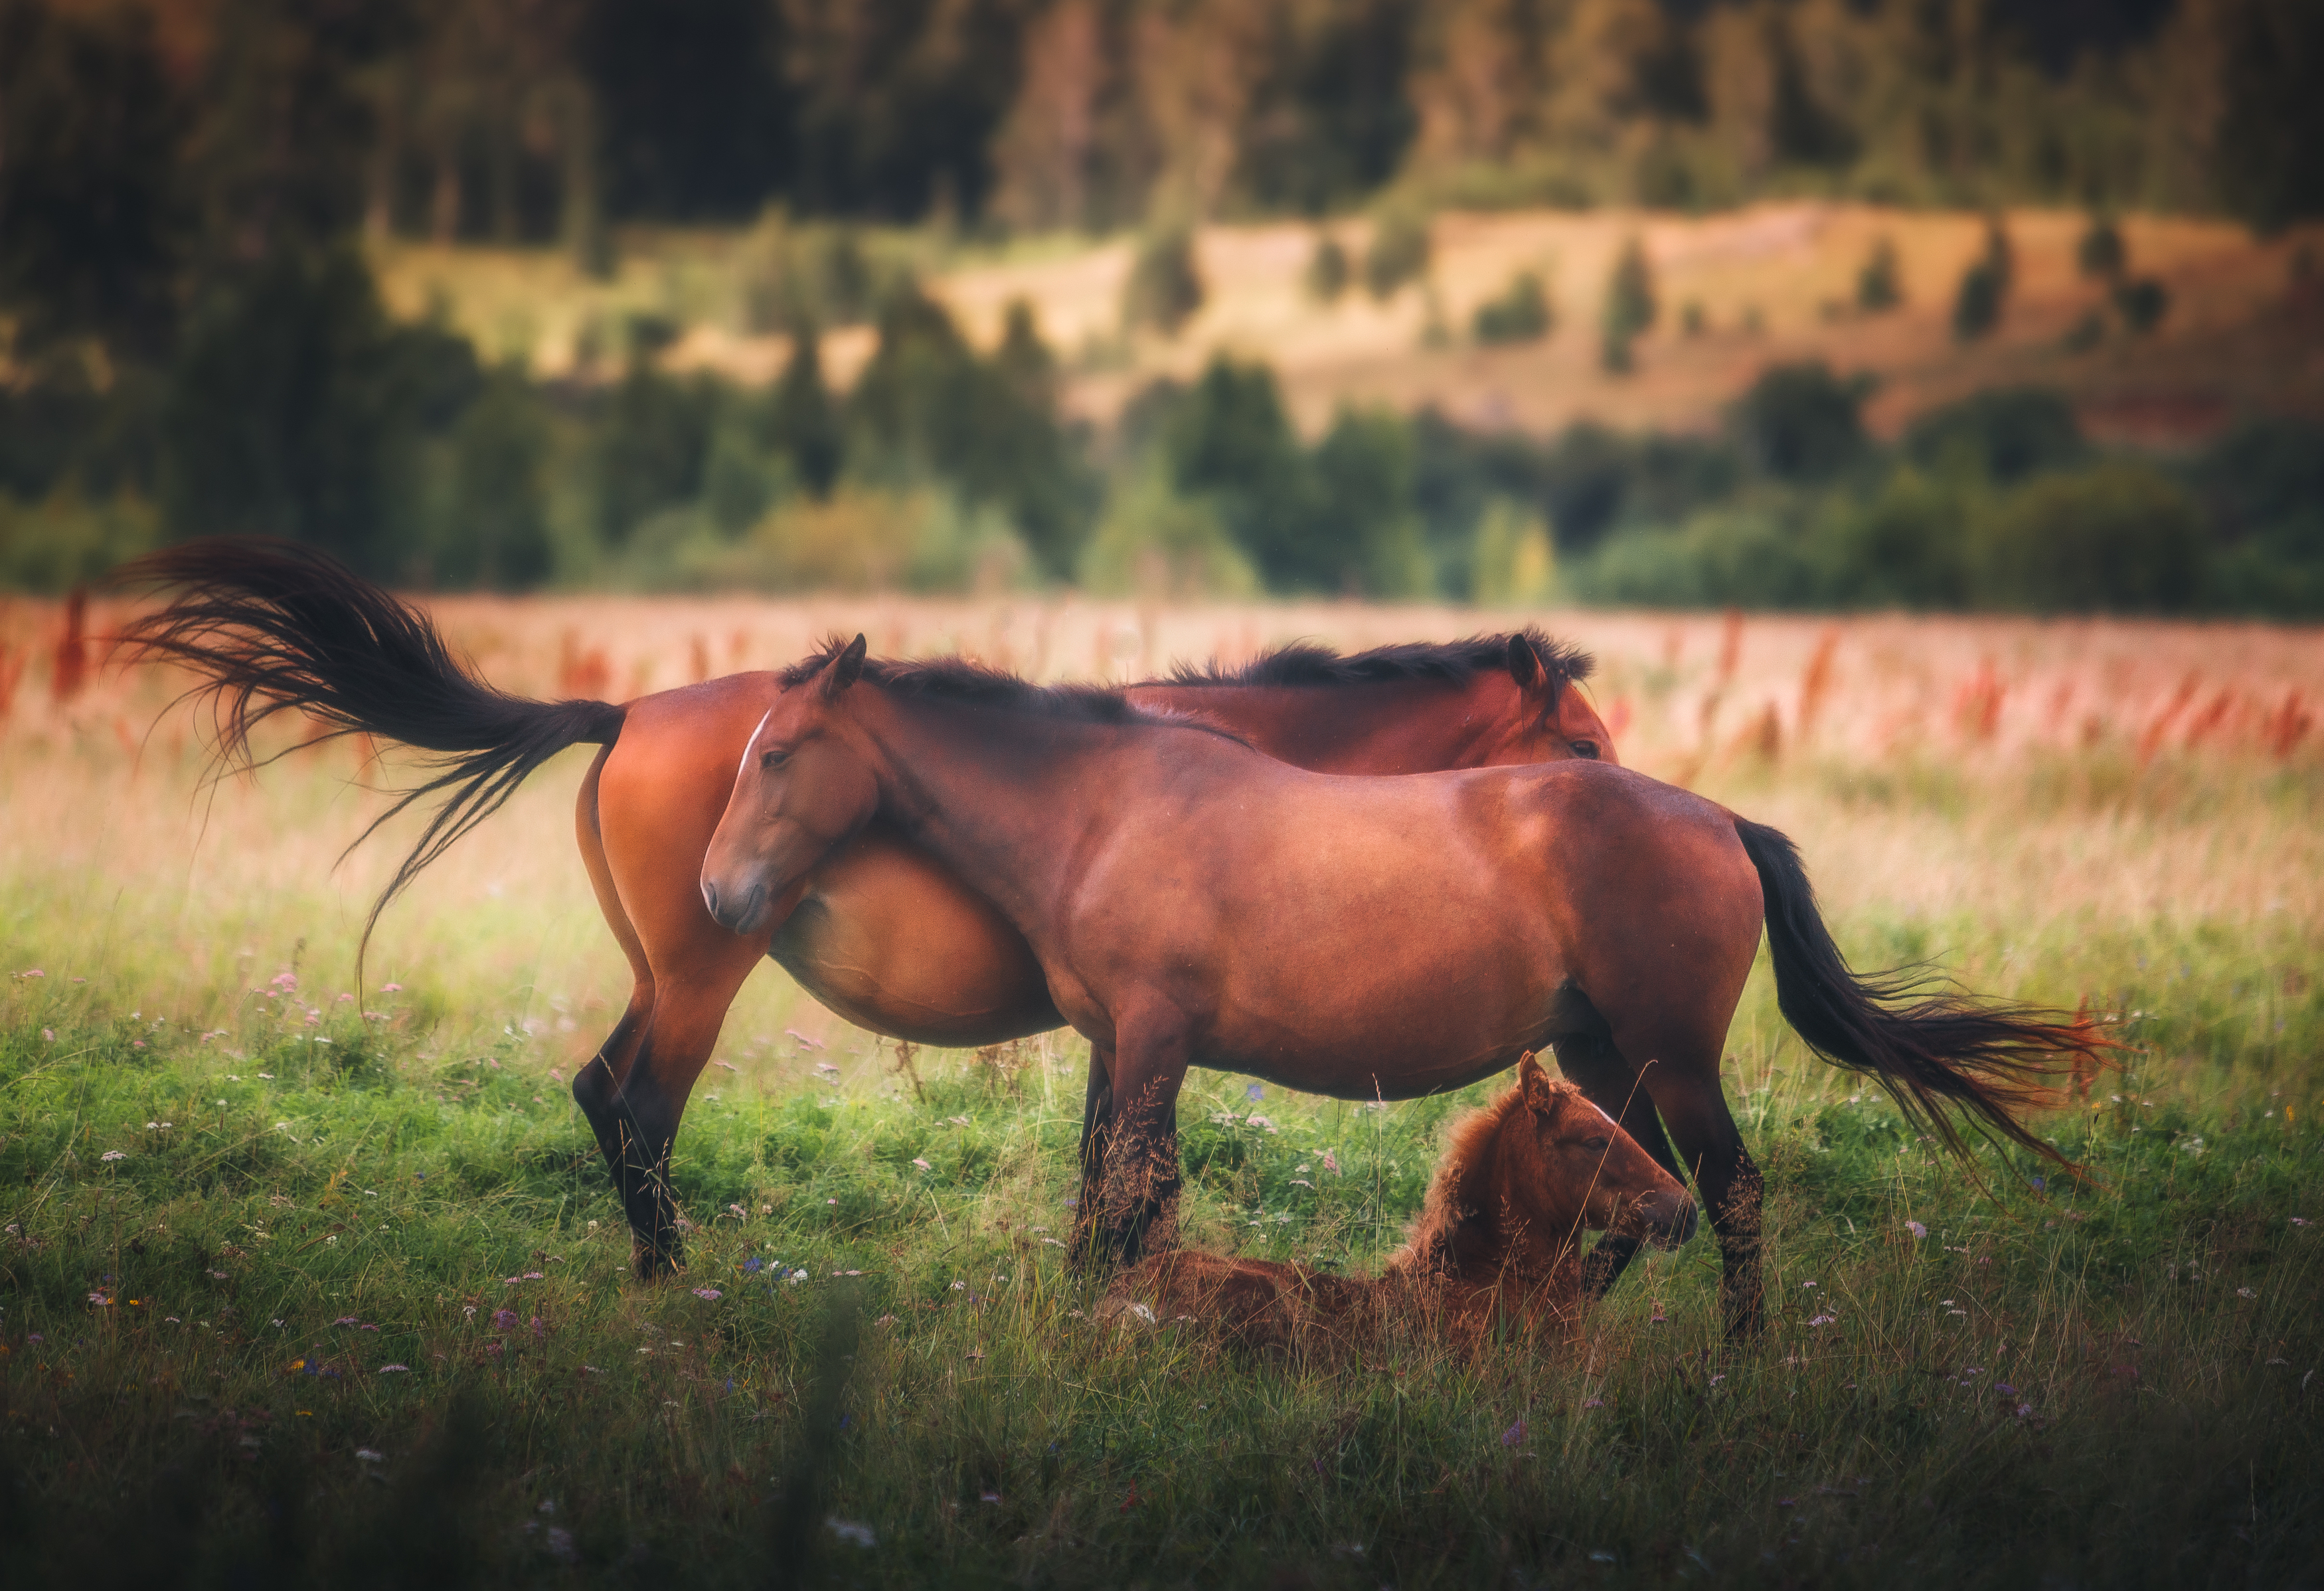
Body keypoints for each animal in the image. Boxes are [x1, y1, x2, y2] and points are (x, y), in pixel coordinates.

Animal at [113, 539, 1618, 1272]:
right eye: (1585, 744)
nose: (1631, 803)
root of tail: (627, 708)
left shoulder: (1122, 1032)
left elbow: (1101, 1178)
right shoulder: (1143, 1029)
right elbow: (1128, 1183)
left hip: (662, 974)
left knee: (599, 1093)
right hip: (703, 976)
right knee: (641, 1109)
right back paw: (676, 1280)